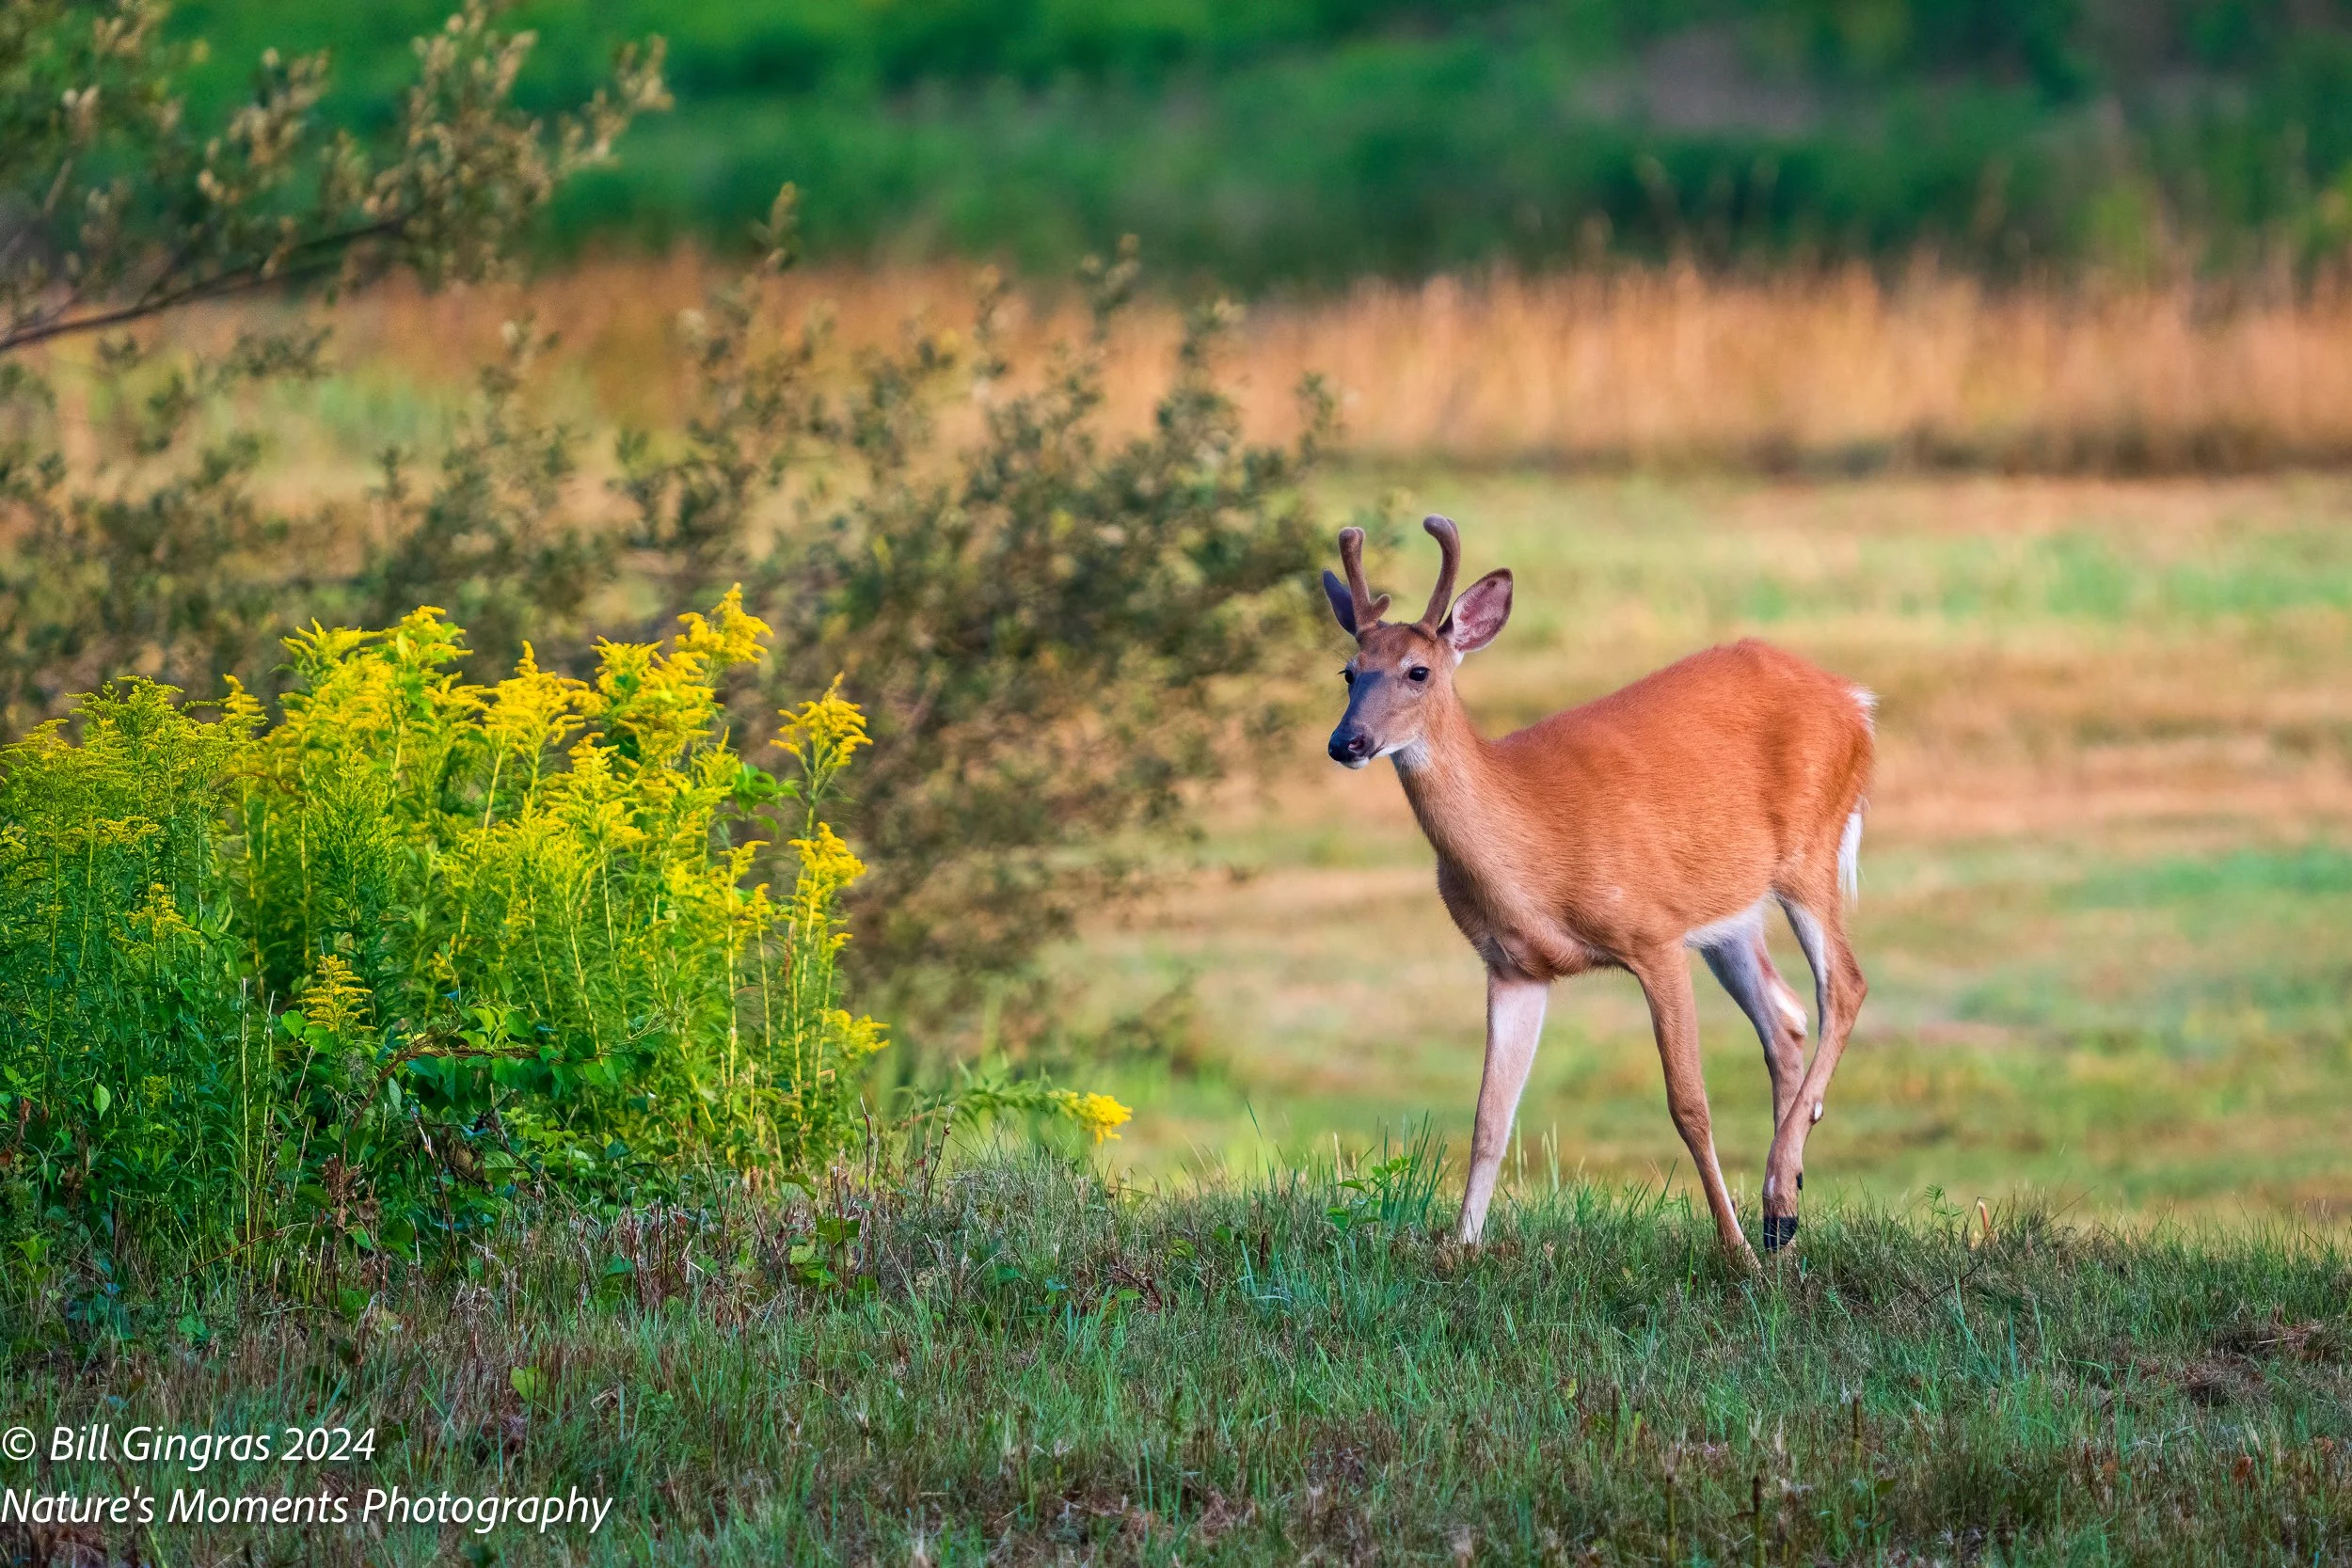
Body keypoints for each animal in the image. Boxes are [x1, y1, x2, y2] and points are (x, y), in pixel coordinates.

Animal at [1321, 516, 1873, 1269]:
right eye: (1348, 672)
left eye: (1418, 670)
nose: (1347, 742)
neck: (1532, 853)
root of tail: (1857, 704)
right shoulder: (1513, 965)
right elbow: (1490, 1117)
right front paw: (1460, 1247)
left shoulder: (1653, 934)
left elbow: (1688, 1104)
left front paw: (1733, 1251)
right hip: (1730, 913)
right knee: (1784, 1017)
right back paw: (1781, 1214)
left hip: (1810, 852)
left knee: (1843, 986)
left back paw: (1771, 1212)